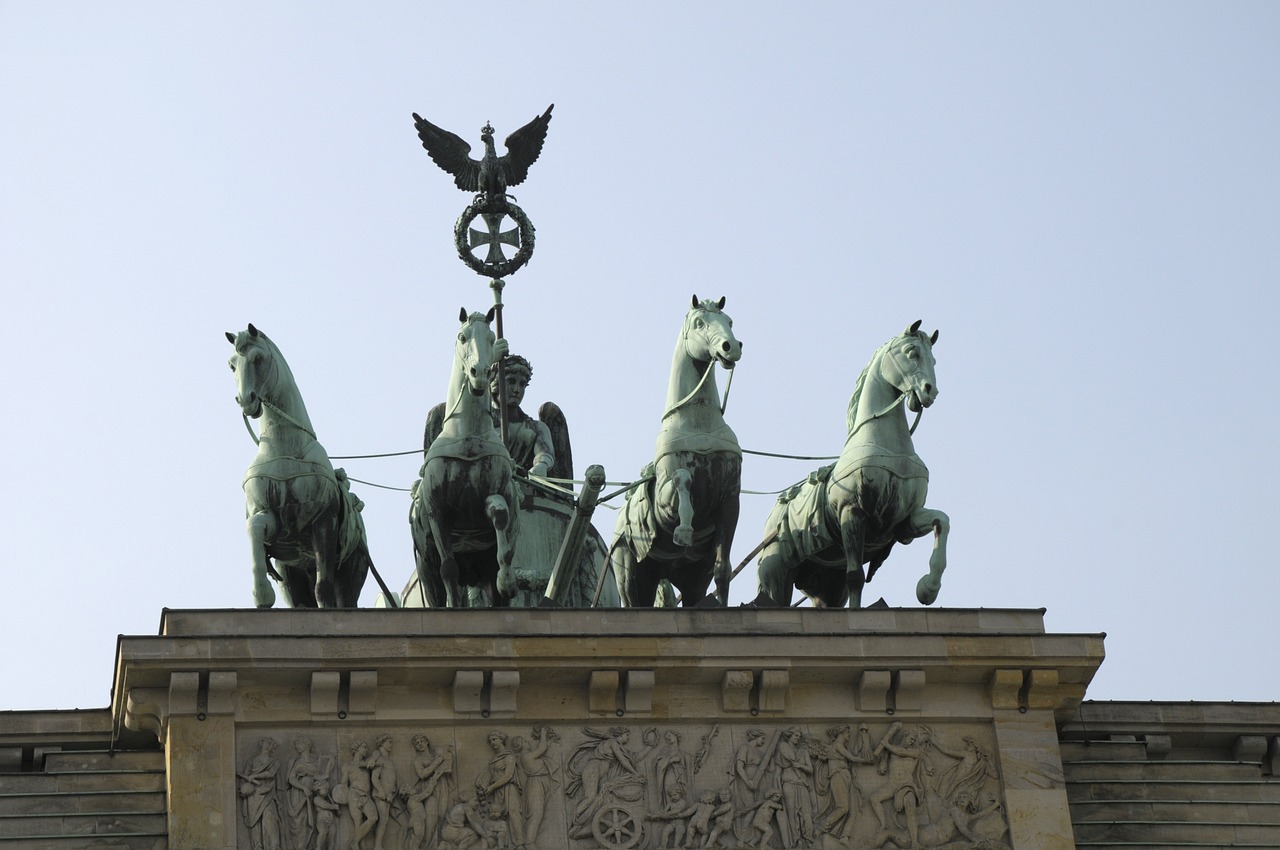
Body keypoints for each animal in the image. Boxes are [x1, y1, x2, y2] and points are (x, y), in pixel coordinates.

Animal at [226, 322, 371, 606]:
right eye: (232, 365)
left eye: (258, 359)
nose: (246, 400)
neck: (284, 447)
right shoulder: (272, 521)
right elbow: (254, 528)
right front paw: (262, 595)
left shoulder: (323, 522)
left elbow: (323, 588)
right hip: (291, 574)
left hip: (352, 571)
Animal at [404, 308, 514, 606]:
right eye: (462, 337)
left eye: (492, 338)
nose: (479, 374)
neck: (467, 436)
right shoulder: (437, 510)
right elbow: (449, 569)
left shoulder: (494, 492)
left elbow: (500, 514)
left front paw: (506, 579)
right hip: (425, 568)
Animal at [611, 295, 747, 606]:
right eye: (699, 322)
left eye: (730, 321)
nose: (731, 347)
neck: (698, 424)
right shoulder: (664, 506)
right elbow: (682, 480)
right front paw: (685, 530)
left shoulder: (730, 499)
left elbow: (723, 569)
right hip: (629, 572)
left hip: (688, 577)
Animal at [752, 317, 947, 604]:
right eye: (912, 353)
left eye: (933, 360)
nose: (929, 391)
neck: (885, 445)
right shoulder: (851, 513)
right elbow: (855, 577)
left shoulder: (904, 521)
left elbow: (942, 521)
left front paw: (928, 587)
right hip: (775, 574)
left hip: (825, 584)